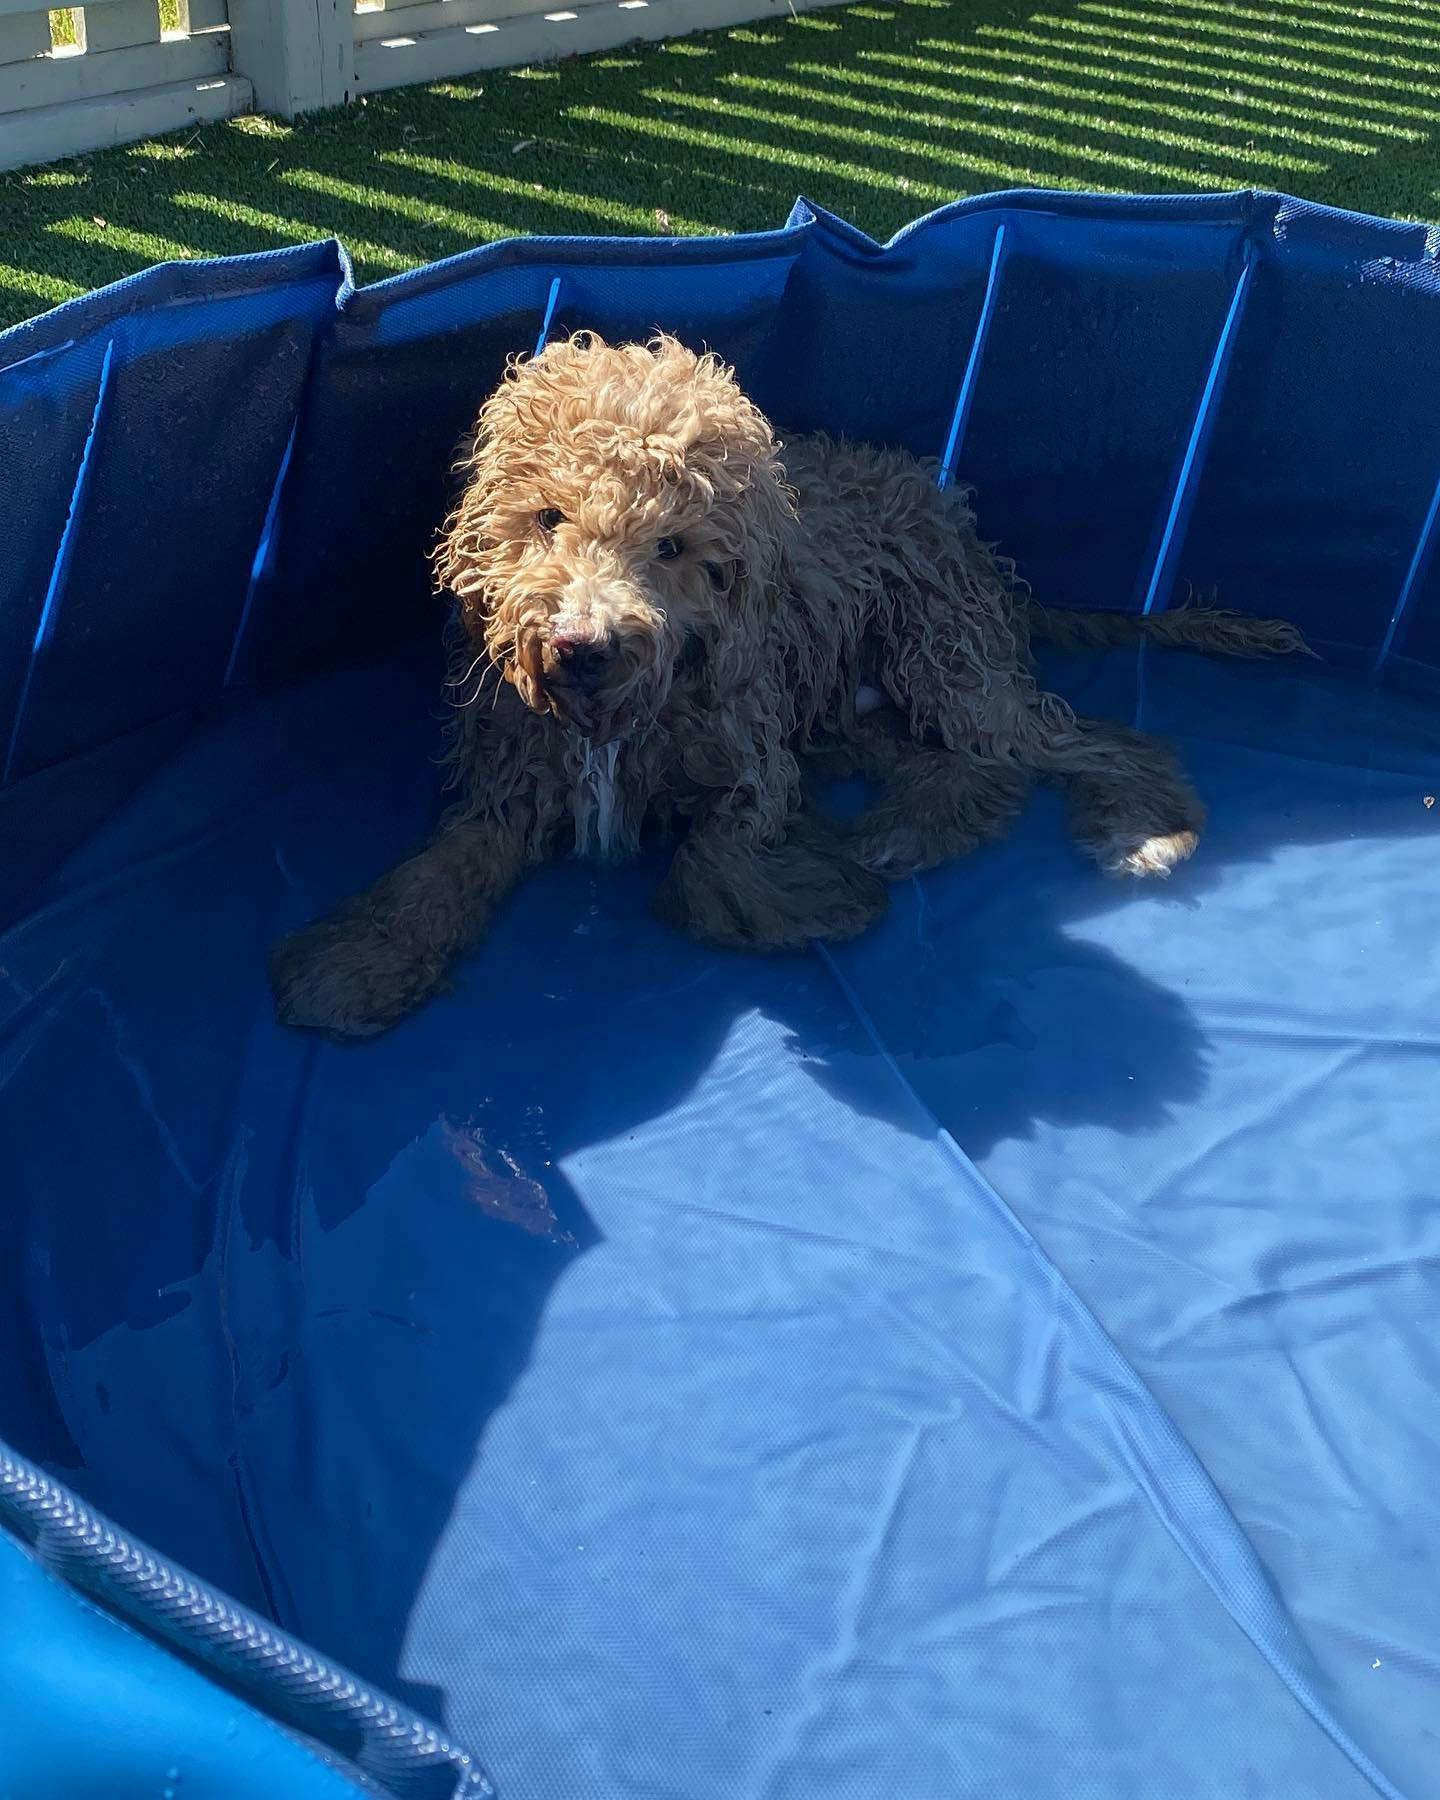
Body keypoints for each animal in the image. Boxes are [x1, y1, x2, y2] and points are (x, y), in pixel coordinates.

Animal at [266, 334, 1303, 1044]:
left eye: (672, 545)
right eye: (547, 517)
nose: (582, 646)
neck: (617, 718)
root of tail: (965, 530)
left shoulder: (751, 754)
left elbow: (706, 864)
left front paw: (810, 901)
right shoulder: (511, 784)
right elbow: (432, 875)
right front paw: (354, 966)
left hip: (945, 656)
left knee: (1099, 742)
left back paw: (1138, 830)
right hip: (856, 704)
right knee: (966, 772)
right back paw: (900, 833)